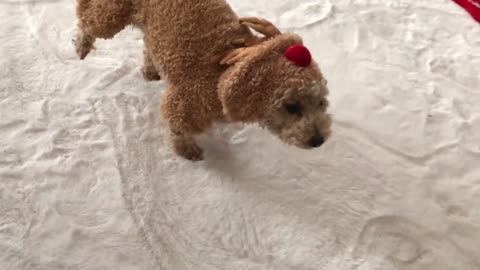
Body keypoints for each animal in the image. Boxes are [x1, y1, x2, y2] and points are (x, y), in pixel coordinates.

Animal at [75, 0, 332, 160]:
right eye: (291, 107)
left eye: (321, 103)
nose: (319, 140)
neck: (222, 75)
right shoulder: (185, 102)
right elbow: (178, 127)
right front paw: (186, 150)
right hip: (111, 16)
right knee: (87, 16)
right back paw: (82, 44)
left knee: (148, 44)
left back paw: (150, 70)